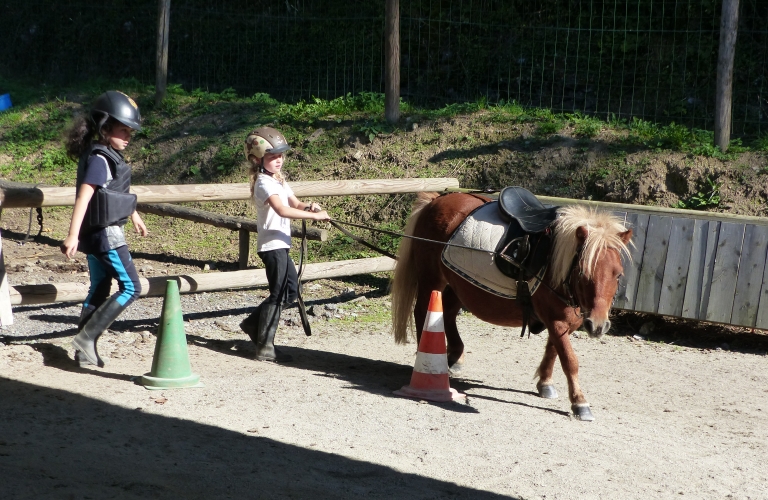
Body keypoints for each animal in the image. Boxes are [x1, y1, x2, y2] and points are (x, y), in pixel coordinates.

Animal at [392, 193, 632, 420]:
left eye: (618, 274)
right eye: (583, 273)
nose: (598, 326)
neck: (555, 264)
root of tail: (436, 200)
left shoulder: (565, 322)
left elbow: (553, 351)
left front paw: (545, 383)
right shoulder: (556, 321)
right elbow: (569, 360)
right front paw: (579, 402)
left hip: (458, 283)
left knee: (448, 314)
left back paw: (455, 356)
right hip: (431, 280)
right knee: (423, 313)